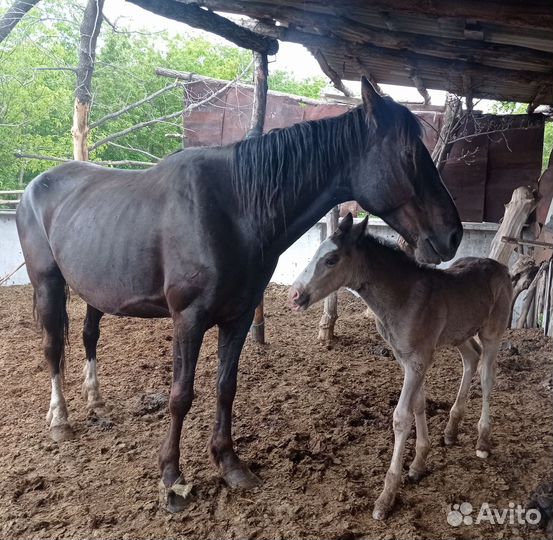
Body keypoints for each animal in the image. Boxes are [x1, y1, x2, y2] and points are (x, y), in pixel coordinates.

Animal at [16, 78, 462, 512]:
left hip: (95, 291)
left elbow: (225, 388)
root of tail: (34, 186)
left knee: (89, 336)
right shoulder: (188, 319)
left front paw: (229, 464)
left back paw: (95, 402)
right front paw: (172, 479)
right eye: (409, 153)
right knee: (53, 348)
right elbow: (180, 395)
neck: (233, 208)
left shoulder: (240, 316)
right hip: (48, 284)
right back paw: (60, 421)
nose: (453, 235)